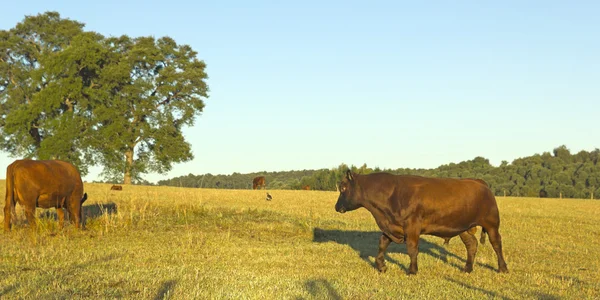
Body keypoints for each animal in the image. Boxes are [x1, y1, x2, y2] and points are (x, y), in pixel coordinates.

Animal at [336, 170, 508, 276]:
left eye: (343, 188)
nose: (337, 207)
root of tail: (479, 182)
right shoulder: (391, 226)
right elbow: (382, 244)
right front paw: (381, 266)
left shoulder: (412, 226)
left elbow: (412, 249)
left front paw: (412, 271)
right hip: (464, 227)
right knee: (471, 245)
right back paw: (467, 268)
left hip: (492, 223)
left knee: (497, 244)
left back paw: (503, 268)